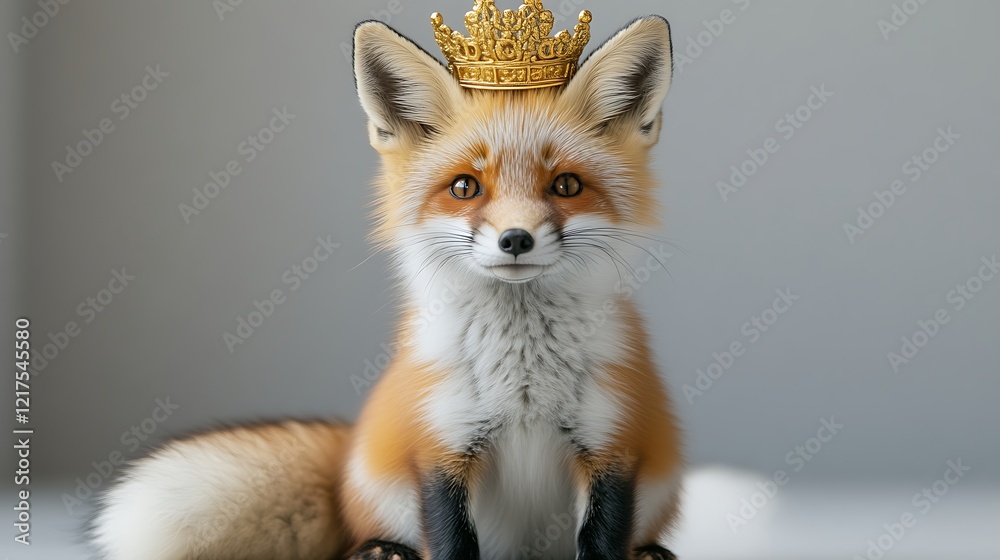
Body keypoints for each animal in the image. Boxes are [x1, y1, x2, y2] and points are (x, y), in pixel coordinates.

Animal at [91, 10, 682, 560]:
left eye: (567, 186)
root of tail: (348, 453)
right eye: (464, 187)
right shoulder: (440, 443)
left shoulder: (611, 443)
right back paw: (381, 549)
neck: (523, 385)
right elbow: (450, 541)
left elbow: (603, 540)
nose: (515, 239)